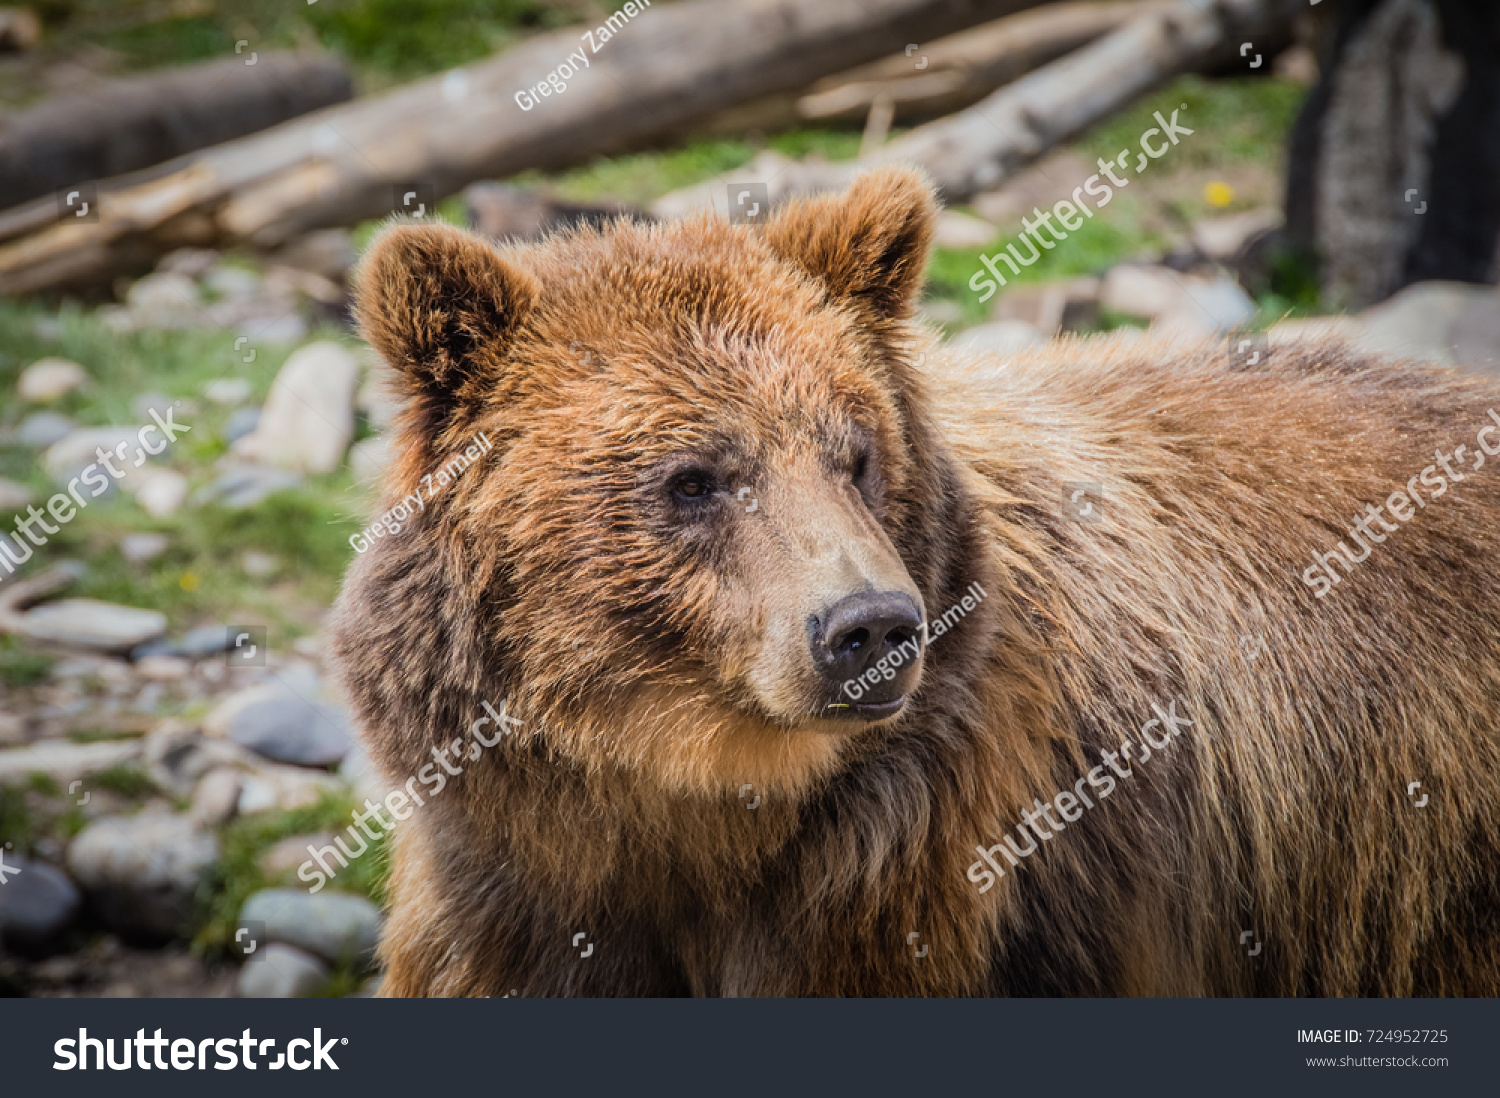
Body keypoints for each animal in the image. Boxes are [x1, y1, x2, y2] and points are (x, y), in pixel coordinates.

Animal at [328, 167, 1500, 1002]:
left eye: (855, 453)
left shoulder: (927, 881)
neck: (695, 809)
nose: (869, 626)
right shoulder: (515, 884)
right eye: (694, 477)